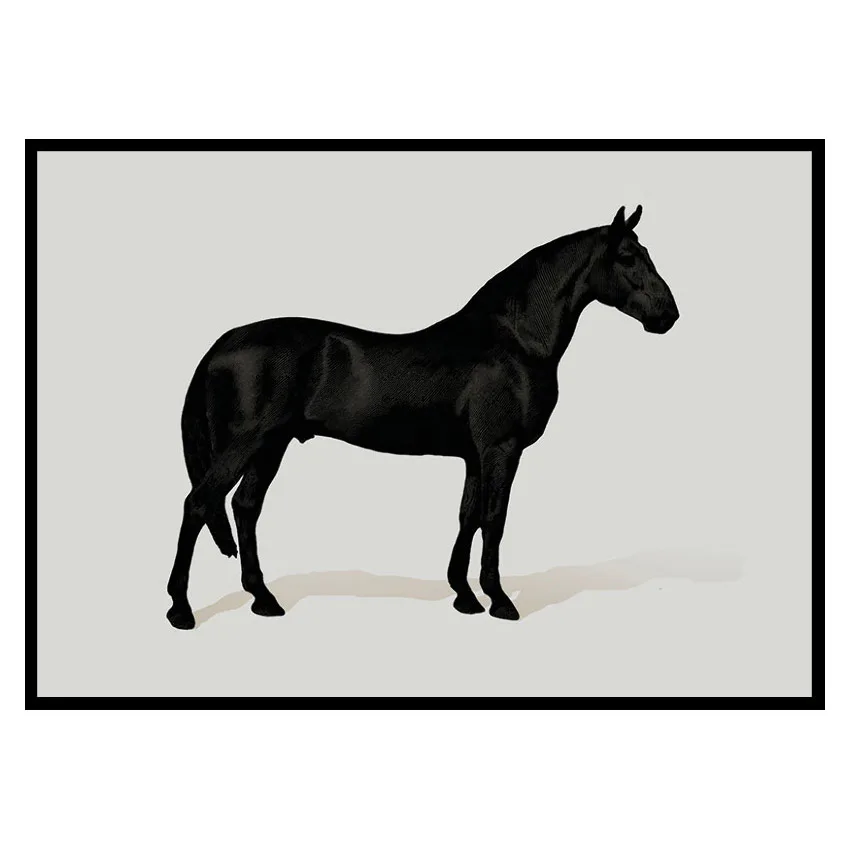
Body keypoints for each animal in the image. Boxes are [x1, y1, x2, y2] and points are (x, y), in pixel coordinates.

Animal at [166, 205, 679, 629]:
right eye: (628, 256)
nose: (668, 314)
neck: (514, 341)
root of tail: (222, 343)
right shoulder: (501, 449)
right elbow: (494, 518)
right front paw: (499, 601)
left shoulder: (474, 455)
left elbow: (468, 517)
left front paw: (465, 597)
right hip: (246, 444)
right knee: (198, 504)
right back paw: (181, 610)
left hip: (270, 446)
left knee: (244, 507)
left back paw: (264, 599)